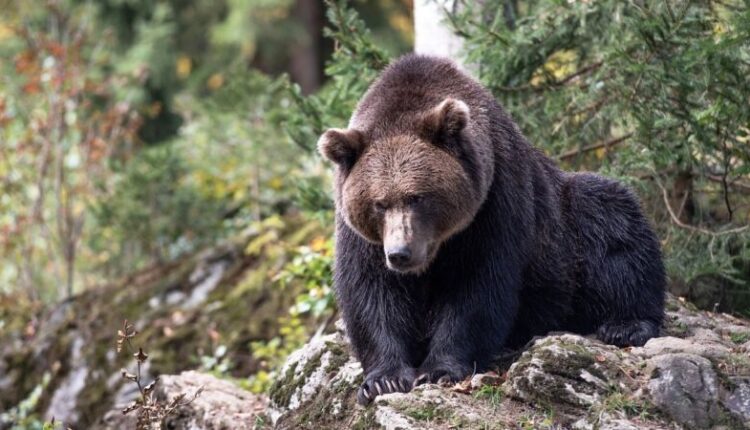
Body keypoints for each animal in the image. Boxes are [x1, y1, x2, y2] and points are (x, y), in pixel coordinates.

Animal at [317, 54, 665, 405]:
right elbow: (371, 292)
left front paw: (440, 369)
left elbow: (477, 286)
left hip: (567, 231)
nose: (401, 253)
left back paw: (626, 324)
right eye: (379, 203)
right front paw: (384, 379)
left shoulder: (494, 201)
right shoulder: (362, 236)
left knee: (611, 223)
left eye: (417, 197)